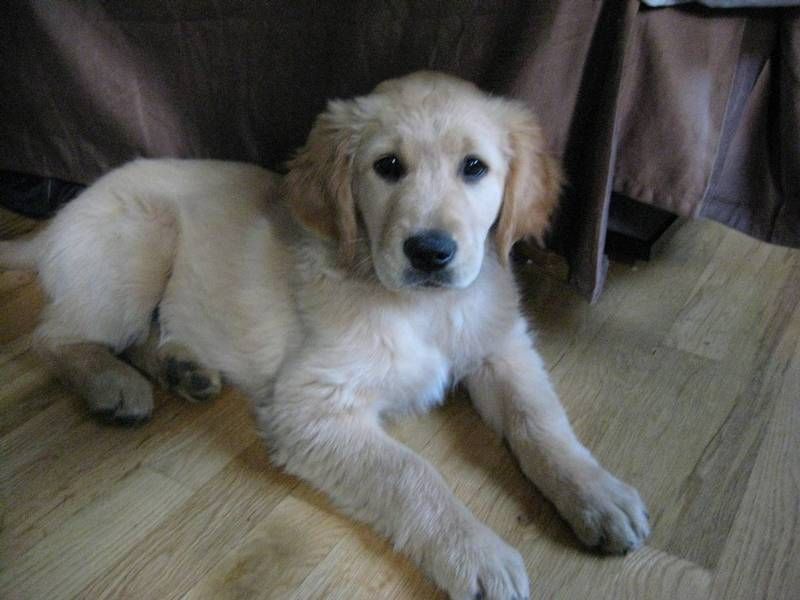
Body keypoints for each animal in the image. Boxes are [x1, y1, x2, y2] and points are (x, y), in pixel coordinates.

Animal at [0, 72, 648, 596]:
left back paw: (181, 369)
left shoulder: (503, 349)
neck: (425, 309)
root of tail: (61, 217)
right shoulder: (311, 404)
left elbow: (541, 421)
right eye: (388, 167)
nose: (430, 252)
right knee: (55, 337)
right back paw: (113, 384)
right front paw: (478, 555)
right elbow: (412, 474)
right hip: (141, 239)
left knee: (130, 333)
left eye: (475, 168)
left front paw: (598, 494)